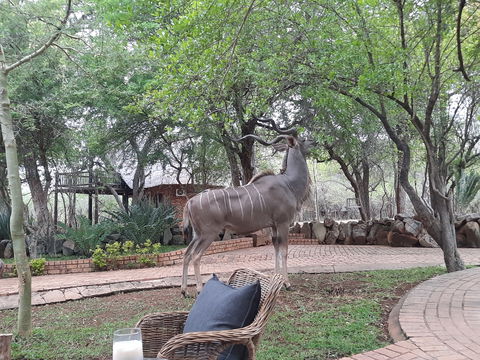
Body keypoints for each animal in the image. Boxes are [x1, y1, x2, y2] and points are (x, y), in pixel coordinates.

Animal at [180, 131, 312, 296]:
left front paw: (275, 279)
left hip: (197, 235)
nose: (314, 141)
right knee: (196, 256)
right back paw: (199, 289)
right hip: (208, 234)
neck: (289, 183)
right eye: (303, 140)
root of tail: (190, 202)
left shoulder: (274, 225)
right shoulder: (283, 223)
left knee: (186, 254)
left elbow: (275, 249)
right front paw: (287, 284)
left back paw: (184, 291)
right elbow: (284, 251)